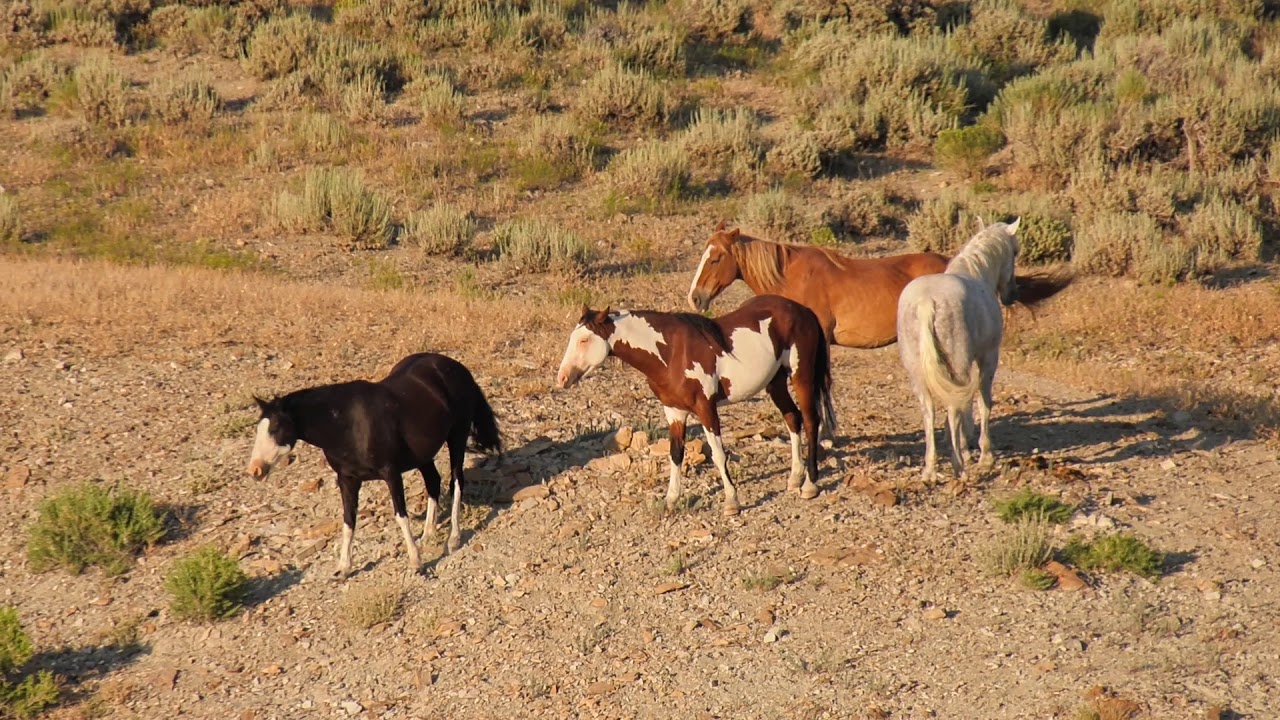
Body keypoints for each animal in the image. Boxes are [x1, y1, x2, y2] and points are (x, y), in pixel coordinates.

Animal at [246, 352, 502, 579]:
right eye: (259, 428)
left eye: (276, 428)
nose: (255, 470)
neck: (347, 425)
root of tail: (456, 367)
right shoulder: (347, 479)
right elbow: (348, 520)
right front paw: (343, 569)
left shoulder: (391, 473)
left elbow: (401, 515)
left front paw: (415, 562)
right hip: (424, 455)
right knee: (434, 482)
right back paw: (428, 534)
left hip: (457, 437)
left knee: (456, 481)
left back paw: (453, 539)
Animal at [555, 295, 837, 516]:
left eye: (584, 340)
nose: (562, 377)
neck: (670, 354)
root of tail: (803, 310)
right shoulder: (674, 412)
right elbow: (675, 454)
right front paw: (671, 499)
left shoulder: (706, 409)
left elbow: (718, 454)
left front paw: (732, 501)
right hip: (776, 383)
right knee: (792, 418)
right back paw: (794, 477)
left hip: (801, 377)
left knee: (810, 420)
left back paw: (810, 484)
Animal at [896, 218, 1020, 483]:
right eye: (1015, 252)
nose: (1011, 295)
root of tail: (926, 302)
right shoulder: (988, 358)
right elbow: (983, 402)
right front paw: (984, 455)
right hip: (959, 365)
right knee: (953, 409)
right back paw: (958, 466)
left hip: (918, 372)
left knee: (928, 410)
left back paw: (930, 469)